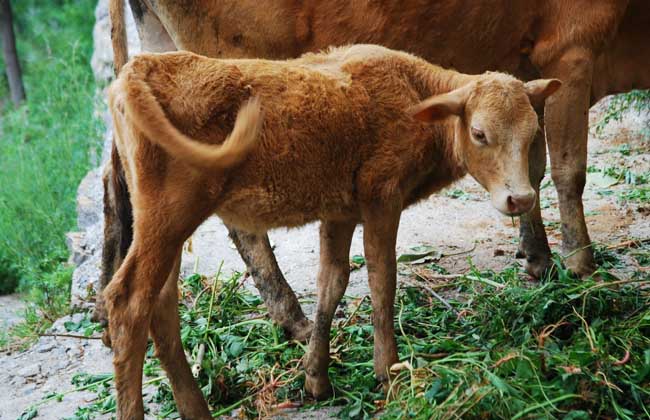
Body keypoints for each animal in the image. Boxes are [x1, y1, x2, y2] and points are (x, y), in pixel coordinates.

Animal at [98, 0, 648, 342]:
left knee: (116, 178)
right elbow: (568, 171)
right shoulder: (572, 53)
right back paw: (294, 318)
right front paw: (581, 266)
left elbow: (529, 169)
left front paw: (539, 258)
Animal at [105, 44, 556, 418]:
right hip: (169, 215)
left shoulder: (340, 212)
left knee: (162, 306)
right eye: (479, 133)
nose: (520, 199)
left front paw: (316, 378)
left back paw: (196, 409)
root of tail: (141, 67)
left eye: (534, 133)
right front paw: (388, 371)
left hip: (167, 225)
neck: (413, 94)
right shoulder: (381, 198)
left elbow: (332, 282)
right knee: (129, 303)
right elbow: (381, 279)